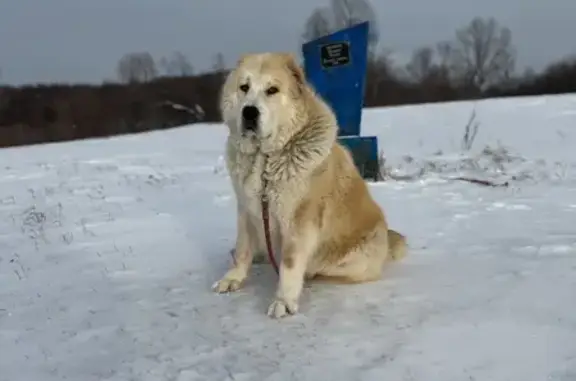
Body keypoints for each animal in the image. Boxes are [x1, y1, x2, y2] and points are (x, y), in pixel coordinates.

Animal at [210, 51, 404, 318]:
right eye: (244, 87)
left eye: (272, 90)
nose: (249, 112)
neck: (265, 159)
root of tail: (388, 238)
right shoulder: (247, 207)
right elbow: (242, 249)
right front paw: (233, 279)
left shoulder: (300, 219)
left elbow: (290, 263)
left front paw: (284, 300)